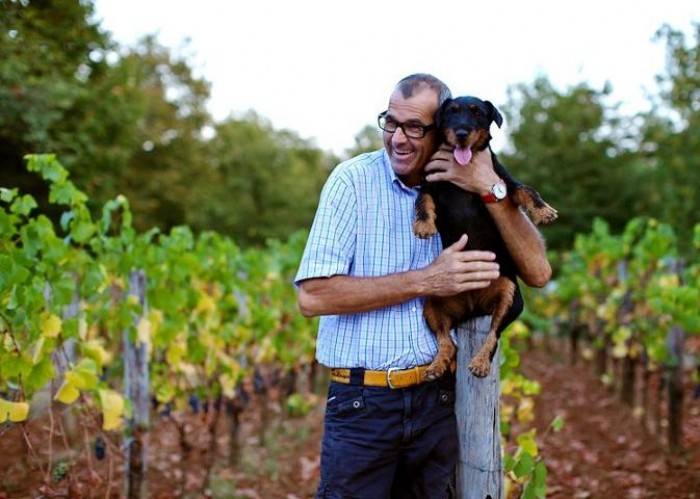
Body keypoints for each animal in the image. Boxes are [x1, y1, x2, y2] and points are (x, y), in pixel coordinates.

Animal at [413, 96, 557, 379]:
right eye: (451, 112)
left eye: (478, 113)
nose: (461, 133)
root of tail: (472, 309)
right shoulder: (429, 184)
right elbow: (421, 201)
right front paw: (423, 226)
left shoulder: (502, 180)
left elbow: (526, 189)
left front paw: (544, 211)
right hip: (432, 301)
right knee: (447, 340)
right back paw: (436, 365)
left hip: (511, 296)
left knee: (493, 334)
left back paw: (479, 362)